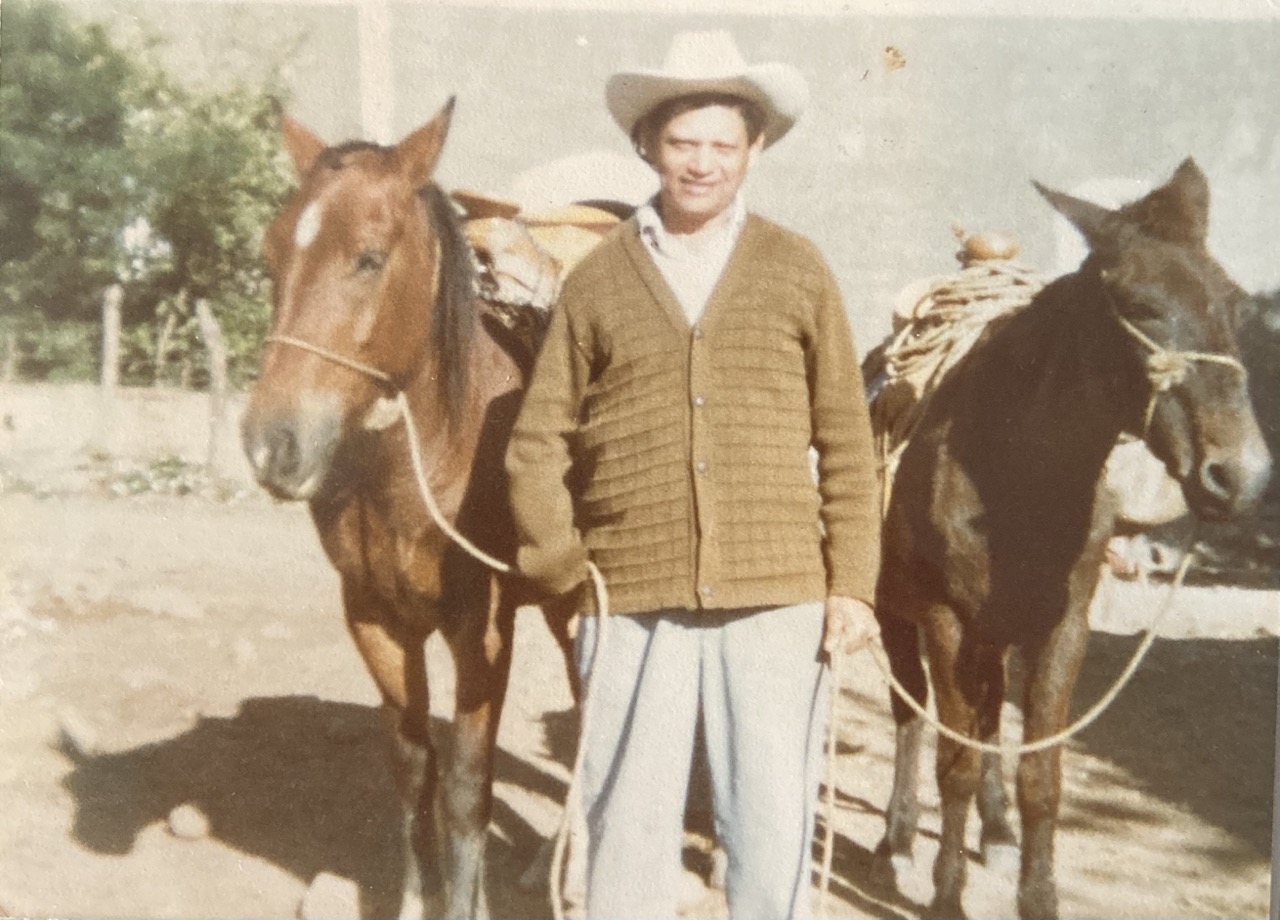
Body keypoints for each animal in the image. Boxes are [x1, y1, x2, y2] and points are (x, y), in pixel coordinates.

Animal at [240, 97, 565, 916]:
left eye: (370, 257)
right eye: (270, 255)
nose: (270, 444)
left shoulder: (482, 632)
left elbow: (467, 789)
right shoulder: (375, 619)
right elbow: (414, 773)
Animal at [870, 159, 1269, 920]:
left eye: (1235, 304)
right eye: (1140, 306)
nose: (1241, 476)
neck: (1016, 470)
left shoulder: (1061, 626)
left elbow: (1040, 774)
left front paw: (1036, 893)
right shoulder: (943, 618)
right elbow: (952, 762)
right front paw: (946, 896)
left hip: (996, 634)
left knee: (988, 718)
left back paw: (994, 833)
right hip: (896, 616)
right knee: (911, 719)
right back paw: (897, 840)